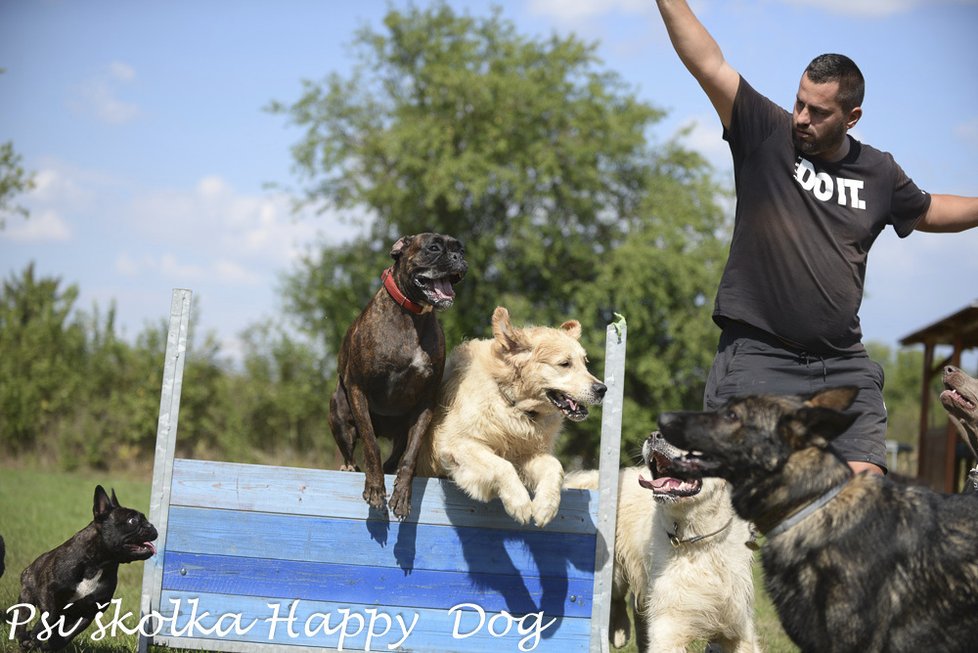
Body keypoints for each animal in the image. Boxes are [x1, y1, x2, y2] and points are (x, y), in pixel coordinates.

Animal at [328, 232, 466, 516]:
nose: (458, 257)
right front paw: (375, 488)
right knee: (350, 451)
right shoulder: (358, 391)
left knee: (395, 457)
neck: (413, 316)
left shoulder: (425, 406)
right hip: (339, 412)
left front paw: (402, 495)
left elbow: (410, 457)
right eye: (433, 248)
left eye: (461, 249)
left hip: (402, 430)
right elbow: (371, 445)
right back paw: (349, 467)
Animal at [418, 306, 608, 524]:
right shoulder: (457, 444)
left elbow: (555, 466)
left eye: (585, 362)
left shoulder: (527, 456)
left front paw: (545, 507)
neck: (513, 406)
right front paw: (519, 503)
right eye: (565, 364)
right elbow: (502, 465)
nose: (602, 389)